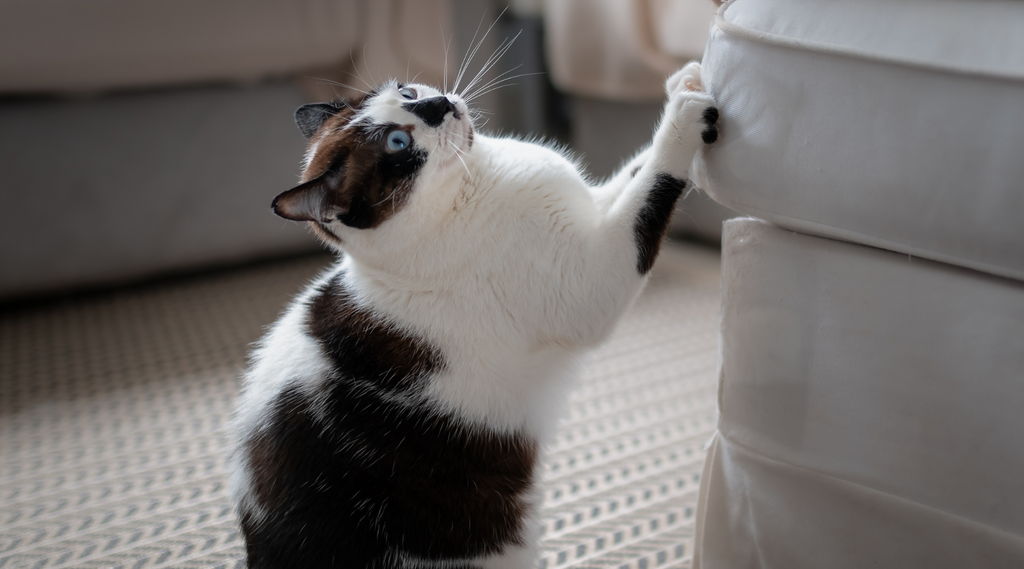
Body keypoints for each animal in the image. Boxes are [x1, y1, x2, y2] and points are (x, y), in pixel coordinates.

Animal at [228, 62, 716, 569]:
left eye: (407, 93)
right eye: (396, 144)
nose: (437, 104)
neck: (473, 182)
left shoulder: (593, 208)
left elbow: (633, 172)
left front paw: (684, 83)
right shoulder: (592, 281)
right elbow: (651, 187)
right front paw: (684, 118)